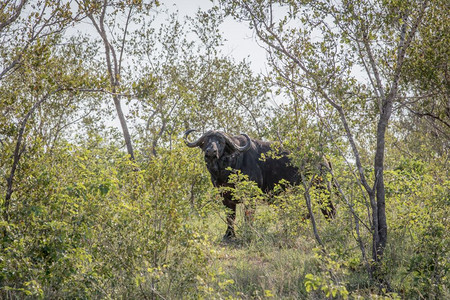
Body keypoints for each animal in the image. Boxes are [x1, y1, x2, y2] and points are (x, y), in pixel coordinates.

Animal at [185, 129, 336, 239]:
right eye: (206, 141)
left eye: (221, 141)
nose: (211, 151)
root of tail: (323, 158)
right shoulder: (225, 196)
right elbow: (230, 217)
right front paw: (229, 235)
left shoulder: (251, 196)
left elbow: (248, 216)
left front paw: (248, 232)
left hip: (322, 189)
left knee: (329, 210)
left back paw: (332, 227)